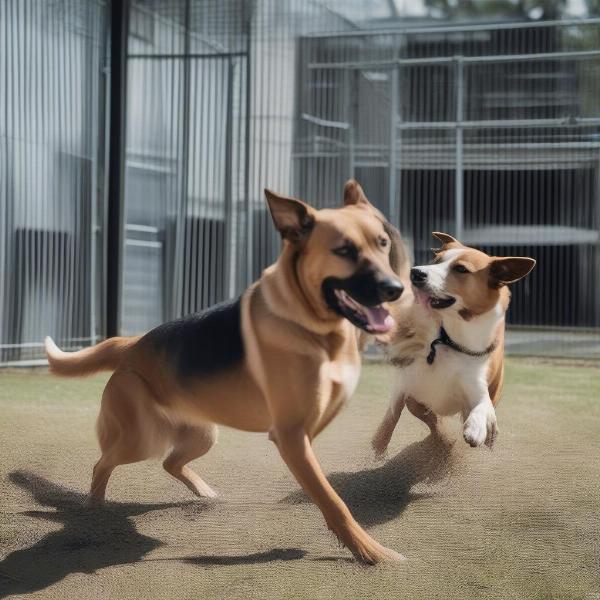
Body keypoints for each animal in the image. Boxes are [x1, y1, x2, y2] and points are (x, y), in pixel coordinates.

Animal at [44, 180, 406, 564]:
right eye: (344, 250)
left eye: (382, 243)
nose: (395, 288)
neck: (312, 324)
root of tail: (131, 345)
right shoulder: (291, 435)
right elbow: (332, 500)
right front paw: (370, 551)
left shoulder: (305, 430)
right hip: (142, 438)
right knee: (103, 463)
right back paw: (94, 510)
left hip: (203, 434)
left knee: (169, 463)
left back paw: (203, 493)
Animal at [372, 232, 536, 452]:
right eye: (436, 260)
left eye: (461, 269)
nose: (415, 272)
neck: (449, 340)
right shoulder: (404, 382)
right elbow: (391, 416)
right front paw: (379, 444)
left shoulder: (477, 386)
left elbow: (483, 407)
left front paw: (476, 429)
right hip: (417, 403)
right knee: (433, 423)